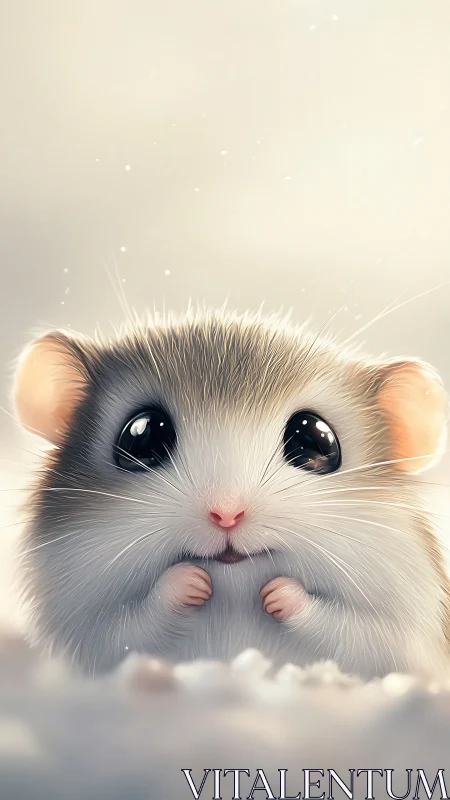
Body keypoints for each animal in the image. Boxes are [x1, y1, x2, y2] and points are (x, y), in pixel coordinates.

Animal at [12, 308, 450, 678]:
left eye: (315, 439)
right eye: (141, 436)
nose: (226, 514)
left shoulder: (400, 640)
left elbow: (353, 635)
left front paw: (277, 593)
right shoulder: (86, 636)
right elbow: (126, 628)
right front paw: (191, 582)